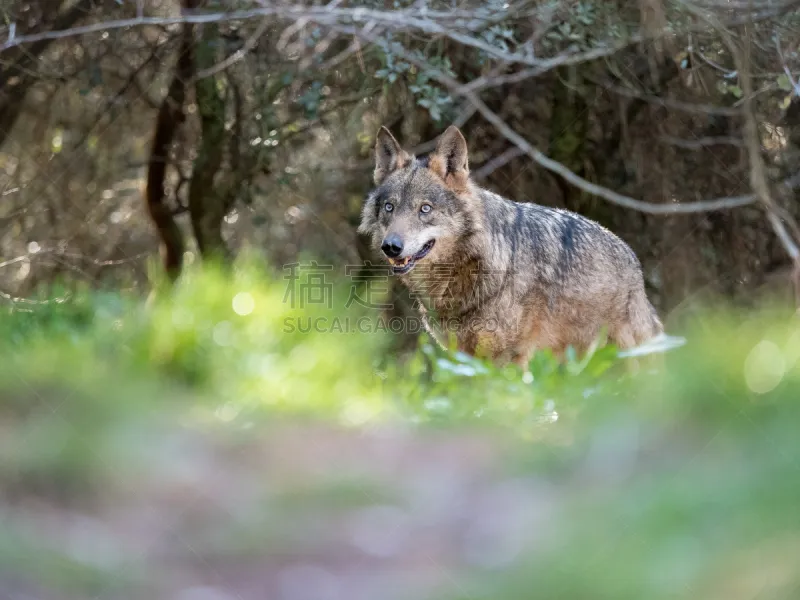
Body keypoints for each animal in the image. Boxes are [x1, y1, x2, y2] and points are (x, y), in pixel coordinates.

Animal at [356, 125, 664, 366]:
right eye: (389, 207)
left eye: (425, 209)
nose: (391, 246)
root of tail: (632, 259)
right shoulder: (461, 356)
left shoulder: (507, 357)